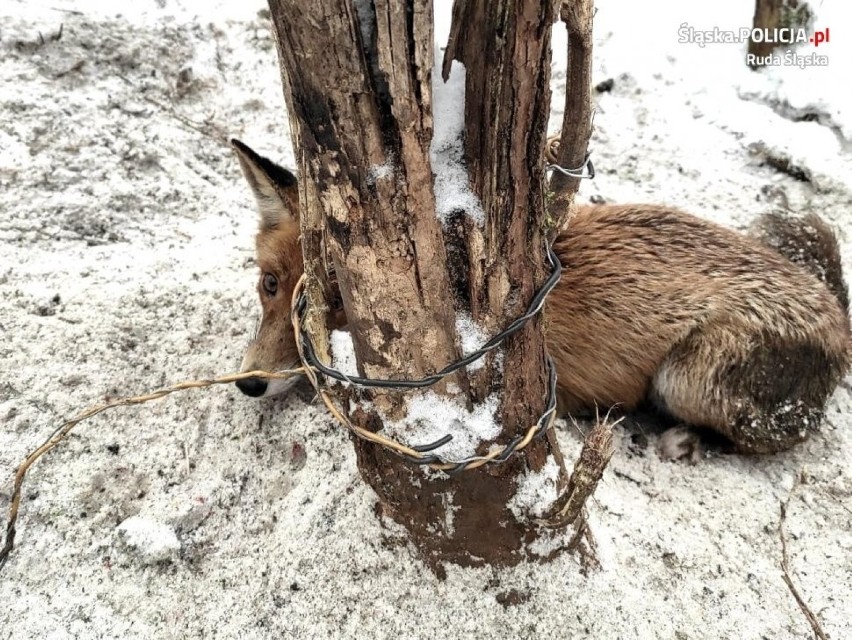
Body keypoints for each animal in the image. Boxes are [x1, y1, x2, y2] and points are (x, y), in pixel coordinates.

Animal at [230, 141, 848, 456]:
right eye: (269, 284)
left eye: (336, 305)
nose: (249, 383)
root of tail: (838, 317)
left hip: (685, 378)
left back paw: (684, 439)